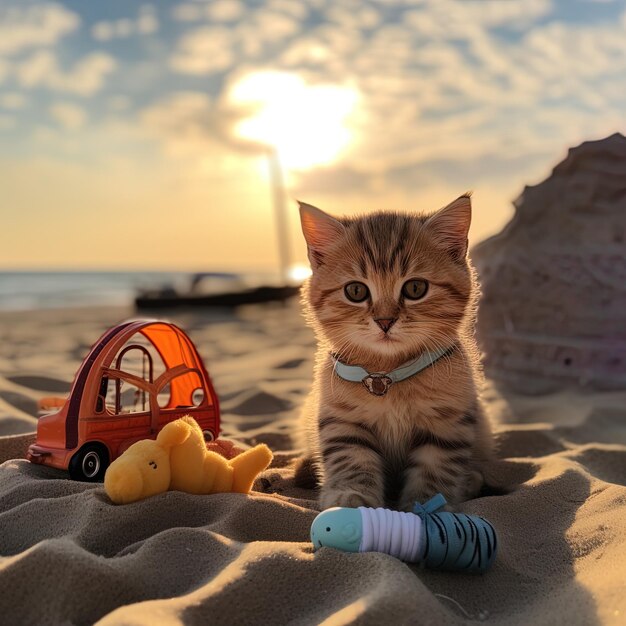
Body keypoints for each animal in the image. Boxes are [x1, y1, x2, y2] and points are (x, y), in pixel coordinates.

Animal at [294, 196, 492, 512]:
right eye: (355, 291)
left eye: (415, 288)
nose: (385, 321)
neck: (387, 372)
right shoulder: (341, 420)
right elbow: (352, 459)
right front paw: (353, 496)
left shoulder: (448, 423)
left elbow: (435, 468)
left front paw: (427, 504)